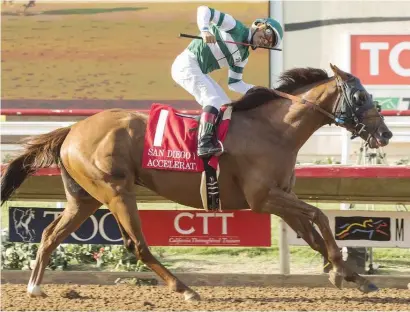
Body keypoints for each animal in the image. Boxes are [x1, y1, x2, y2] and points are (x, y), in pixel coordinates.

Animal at [0, 63, 390, 300]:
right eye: (360, 96)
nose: (385, 133)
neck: (275, 128)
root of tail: (73, 129)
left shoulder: (281, 196)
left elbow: (312, 232)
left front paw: (350, 275)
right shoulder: (263, 198)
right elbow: (320, 217)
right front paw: (341, 269)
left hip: (85, 197)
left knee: (51, 234)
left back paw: (35, 287)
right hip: (116, 191)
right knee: (136, 245)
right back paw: (184, 288)